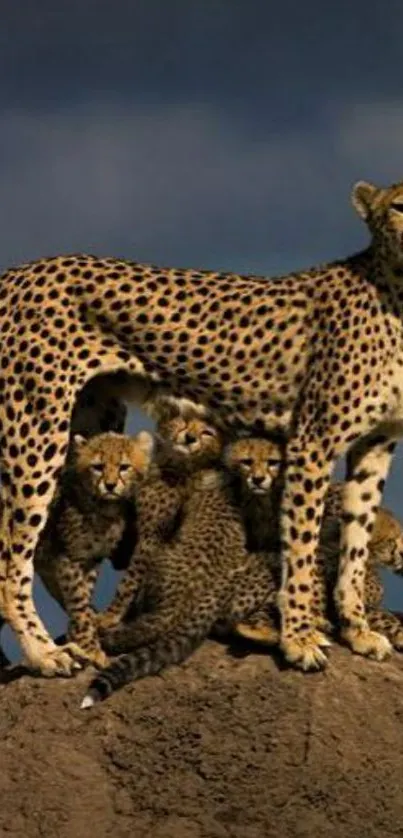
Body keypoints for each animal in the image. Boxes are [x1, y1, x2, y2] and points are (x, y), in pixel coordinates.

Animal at [0, 179, 403, 676]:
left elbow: (355, 540)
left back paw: (86, 637)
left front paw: (357, 630)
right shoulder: (312, 442)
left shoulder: (375, 444)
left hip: (91, 428)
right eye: (399, 205)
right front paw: (299, 638)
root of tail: (18, 271)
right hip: (37, 429)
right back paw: (44, 653)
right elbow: (302, 549)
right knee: (12, 555)